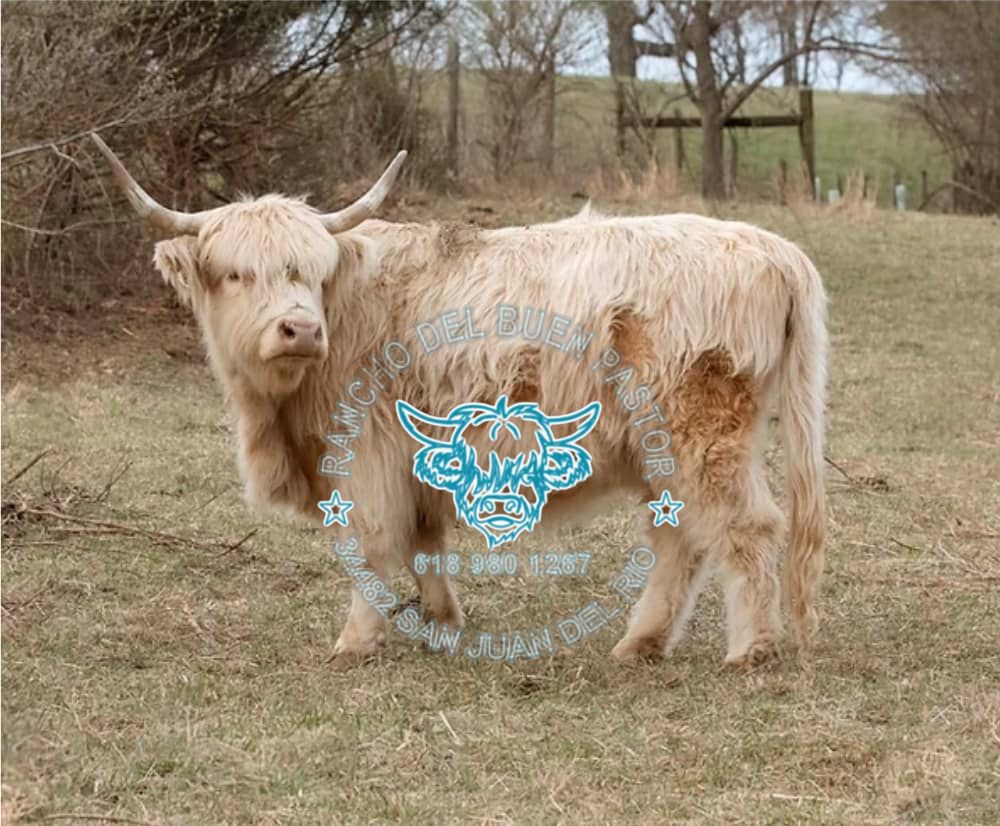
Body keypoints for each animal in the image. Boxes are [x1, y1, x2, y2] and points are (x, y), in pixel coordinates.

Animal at [92, 133, 827, 671]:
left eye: (311, 271)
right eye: (237, 273)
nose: (300, 329)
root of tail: (771, 247)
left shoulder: (365, 454)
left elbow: (371, 541)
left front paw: (355, 641)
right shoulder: (416, 454)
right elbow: (425, 541)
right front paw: (443, 622)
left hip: (702, 436)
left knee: (745, 526)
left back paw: (751, 649)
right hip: (665, 451)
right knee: (679, 537)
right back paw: (638, 643)